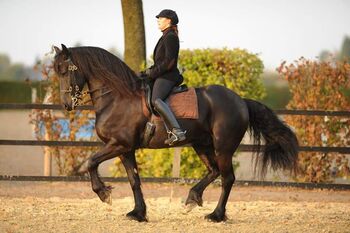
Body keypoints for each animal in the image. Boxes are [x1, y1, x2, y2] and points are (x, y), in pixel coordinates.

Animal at [52, 44, 298, 222]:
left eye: (65, 71)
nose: (66, 105)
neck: (118, 97)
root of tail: (241, 101)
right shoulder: (125, 149)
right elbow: (134, 180)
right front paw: (138, 213)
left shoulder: (118, 144)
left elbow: (91, 162)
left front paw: (104, 194)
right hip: (202, 145)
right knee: (214, 171)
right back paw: (192, 199)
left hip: (223, 147)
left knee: (227, 178)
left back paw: (216, 215)